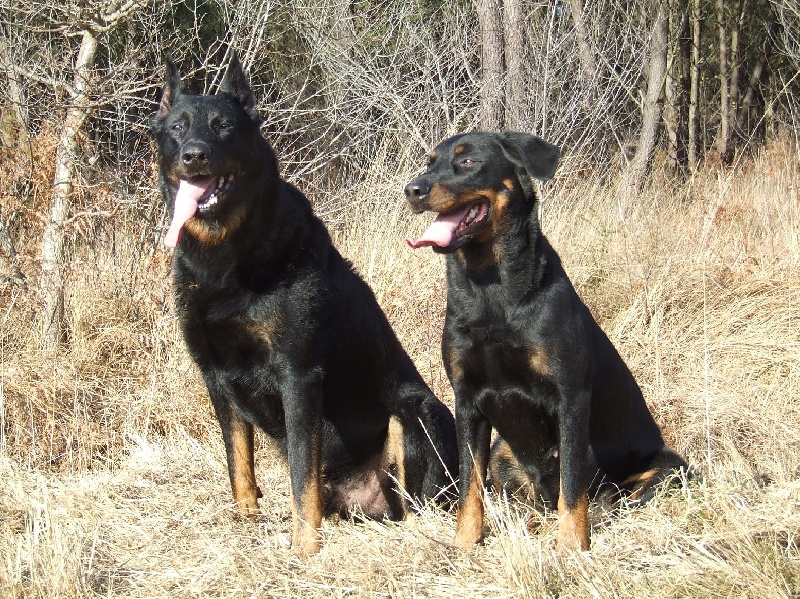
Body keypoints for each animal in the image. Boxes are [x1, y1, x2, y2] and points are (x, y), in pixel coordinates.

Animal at [150, 56, 457, 556]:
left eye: (223, 127)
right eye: (178, 127)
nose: (194, 155)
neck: (224, 257)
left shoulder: (298, 374)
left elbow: (300, 475)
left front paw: (302, 549)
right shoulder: (215, 375)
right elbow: (239, 466)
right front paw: (246, 522)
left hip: (416, 413)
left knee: (419, 503)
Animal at [404, 131, 686, 552]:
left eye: (468, 161)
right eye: (430, 162)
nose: (413, 190)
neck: (491, 288)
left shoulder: (570, 397)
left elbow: (572, 481)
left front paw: (571, 546)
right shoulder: (467, 400)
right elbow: (469, 484)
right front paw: (465, 543)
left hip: (670, 467)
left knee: (610, 496)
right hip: (503, 452)